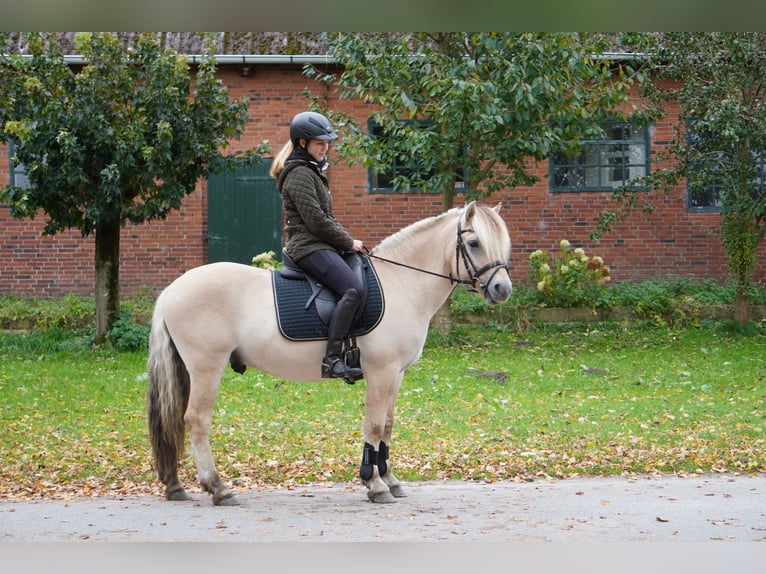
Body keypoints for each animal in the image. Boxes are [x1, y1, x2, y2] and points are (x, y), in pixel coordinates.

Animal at [147, 200, 512, 506]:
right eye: (474, 243)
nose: (502, 289)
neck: (401, 282)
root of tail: (172, 290)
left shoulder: (396, 374)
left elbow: (388, 426)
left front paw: (389, 480)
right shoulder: (381, 372)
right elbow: (374, 426)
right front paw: (374, 485)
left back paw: (176, 486)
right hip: (207, 367)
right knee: (196, 420)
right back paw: (218, 488)